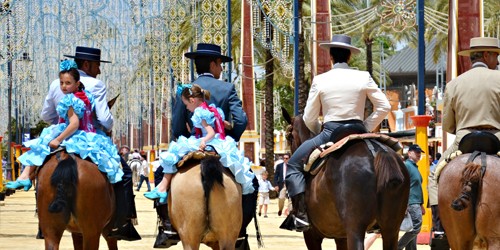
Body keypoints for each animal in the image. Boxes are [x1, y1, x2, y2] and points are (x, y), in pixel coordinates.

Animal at [284, 110, 408, 249]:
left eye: (289, 137)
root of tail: (377, 151)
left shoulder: (311, 235)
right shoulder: (341, 237)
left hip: (355, 230)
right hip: (391, 229)